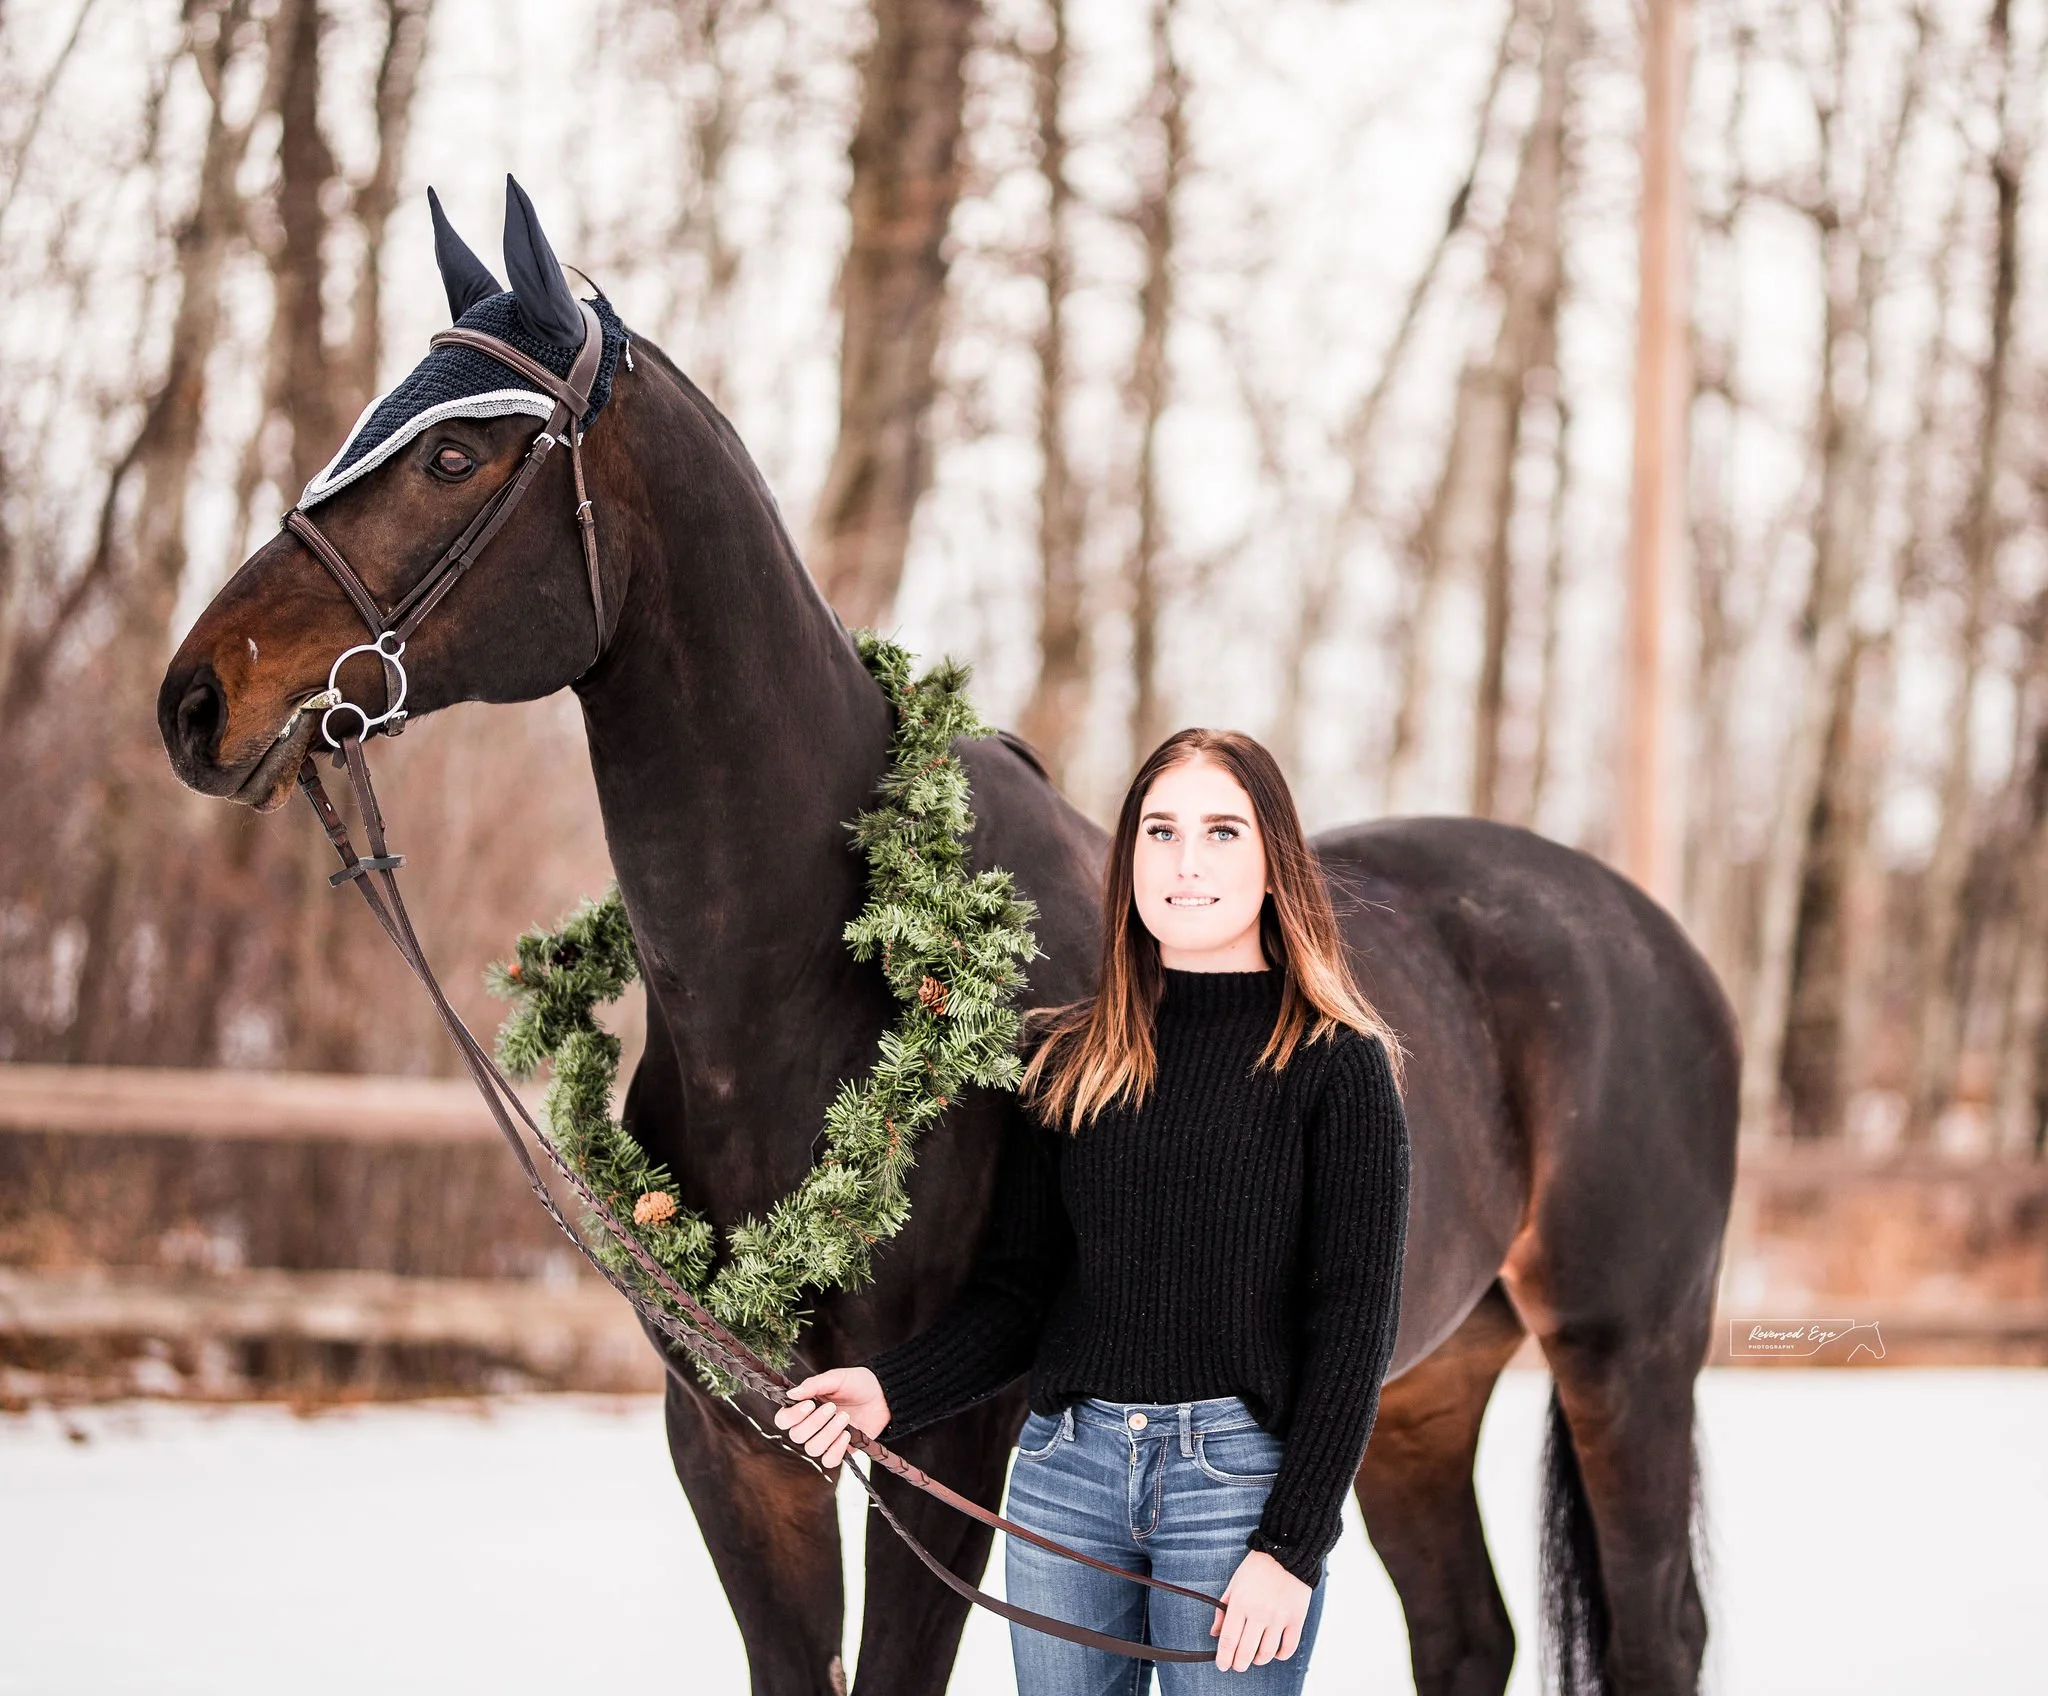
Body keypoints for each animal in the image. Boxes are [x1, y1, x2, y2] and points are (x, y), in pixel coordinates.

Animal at [158, 179, 1738, 1696]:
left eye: (452, 460)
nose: (198, 700)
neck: (807, 987)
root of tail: (1657, 942)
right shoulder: (737, 1442)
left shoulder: (957, 1444)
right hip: (1412, 1390)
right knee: (1466, 1630)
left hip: (1625, 1359)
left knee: (1655, 1631)